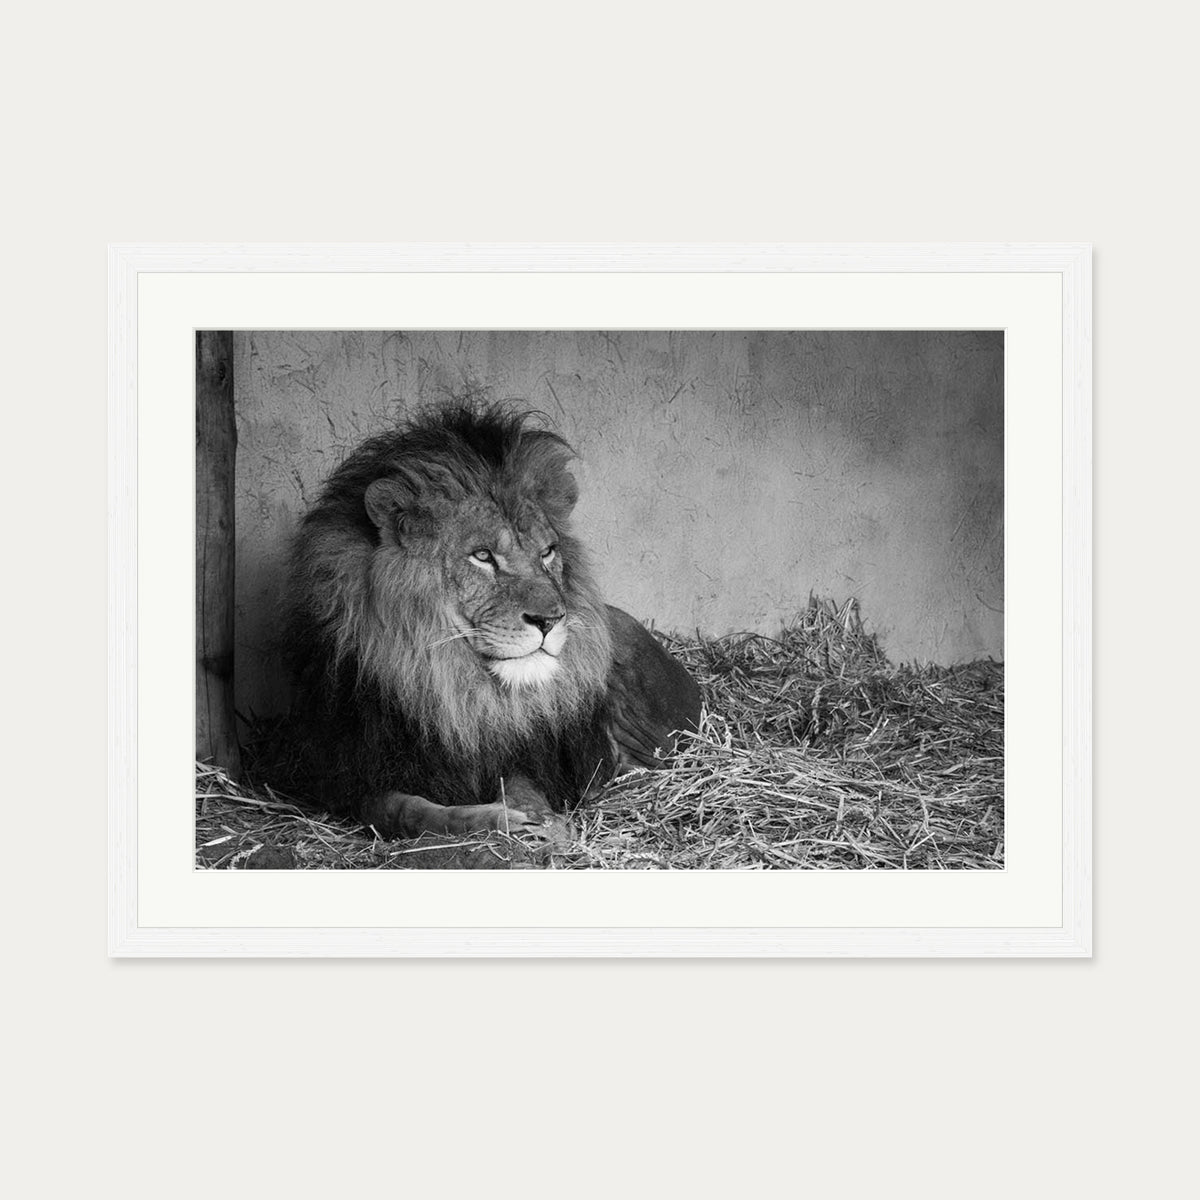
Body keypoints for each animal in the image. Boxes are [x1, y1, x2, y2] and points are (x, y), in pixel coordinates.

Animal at [284, 401, 702, 841]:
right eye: (482, 556)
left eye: (547, 552)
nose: (550, 619)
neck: (452, 688)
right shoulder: (350, 776)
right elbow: (406, 811)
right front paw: (494, 818)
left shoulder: (523, 755)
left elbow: (522, 785)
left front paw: (543, 821)